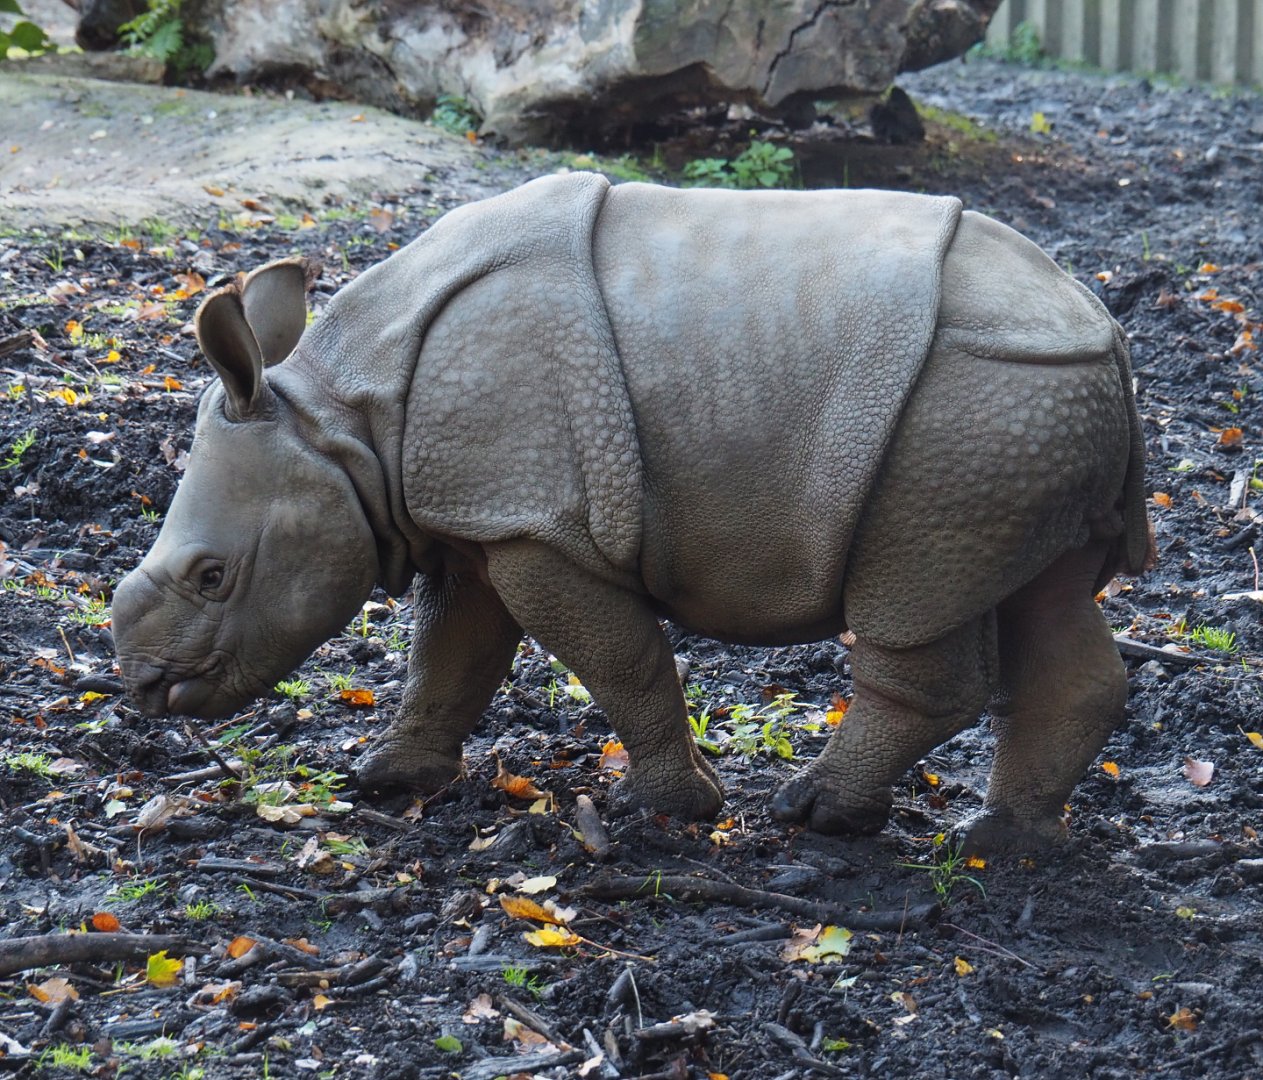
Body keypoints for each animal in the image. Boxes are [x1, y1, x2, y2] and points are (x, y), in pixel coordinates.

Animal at [112, 172, 1153, 852]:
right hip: (1018, 415)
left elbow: (620, 660)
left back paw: (815, 817)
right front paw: (389, 779)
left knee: (911, 604)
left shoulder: (535, 524)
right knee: (1047, 596)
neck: (341, 427)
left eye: (214, 576)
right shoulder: (477, 518)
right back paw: (1007, 842)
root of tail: (1103, 330)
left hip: (967, 412)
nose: (145, 689)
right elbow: (449, 654)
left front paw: (678, 809)